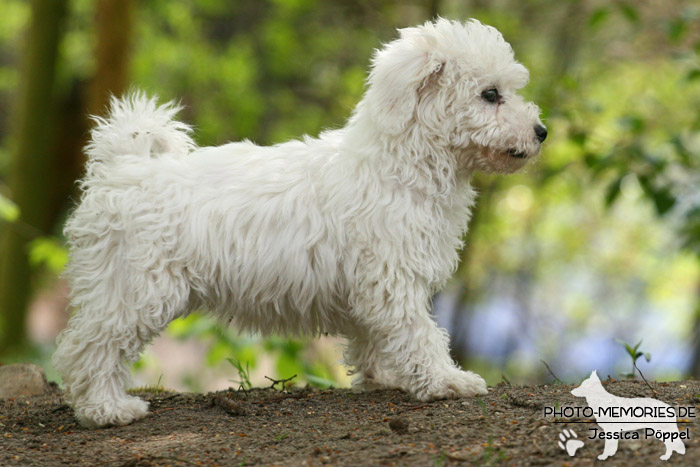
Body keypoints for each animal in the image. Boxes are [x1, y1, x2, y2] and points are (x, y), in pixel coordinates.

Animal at [54, 18, 548, 428]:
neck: (403, 162)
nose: (541, 132)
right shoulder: (393, 279)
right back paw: (106, 409)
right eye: (490, 95)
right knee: (89, 347)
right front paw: (448, 381)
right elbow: (420, 334)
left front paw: (386, 378)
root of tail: (124, 166)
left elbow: (378, 336)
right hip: (133, 288)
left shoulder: (374, 287)